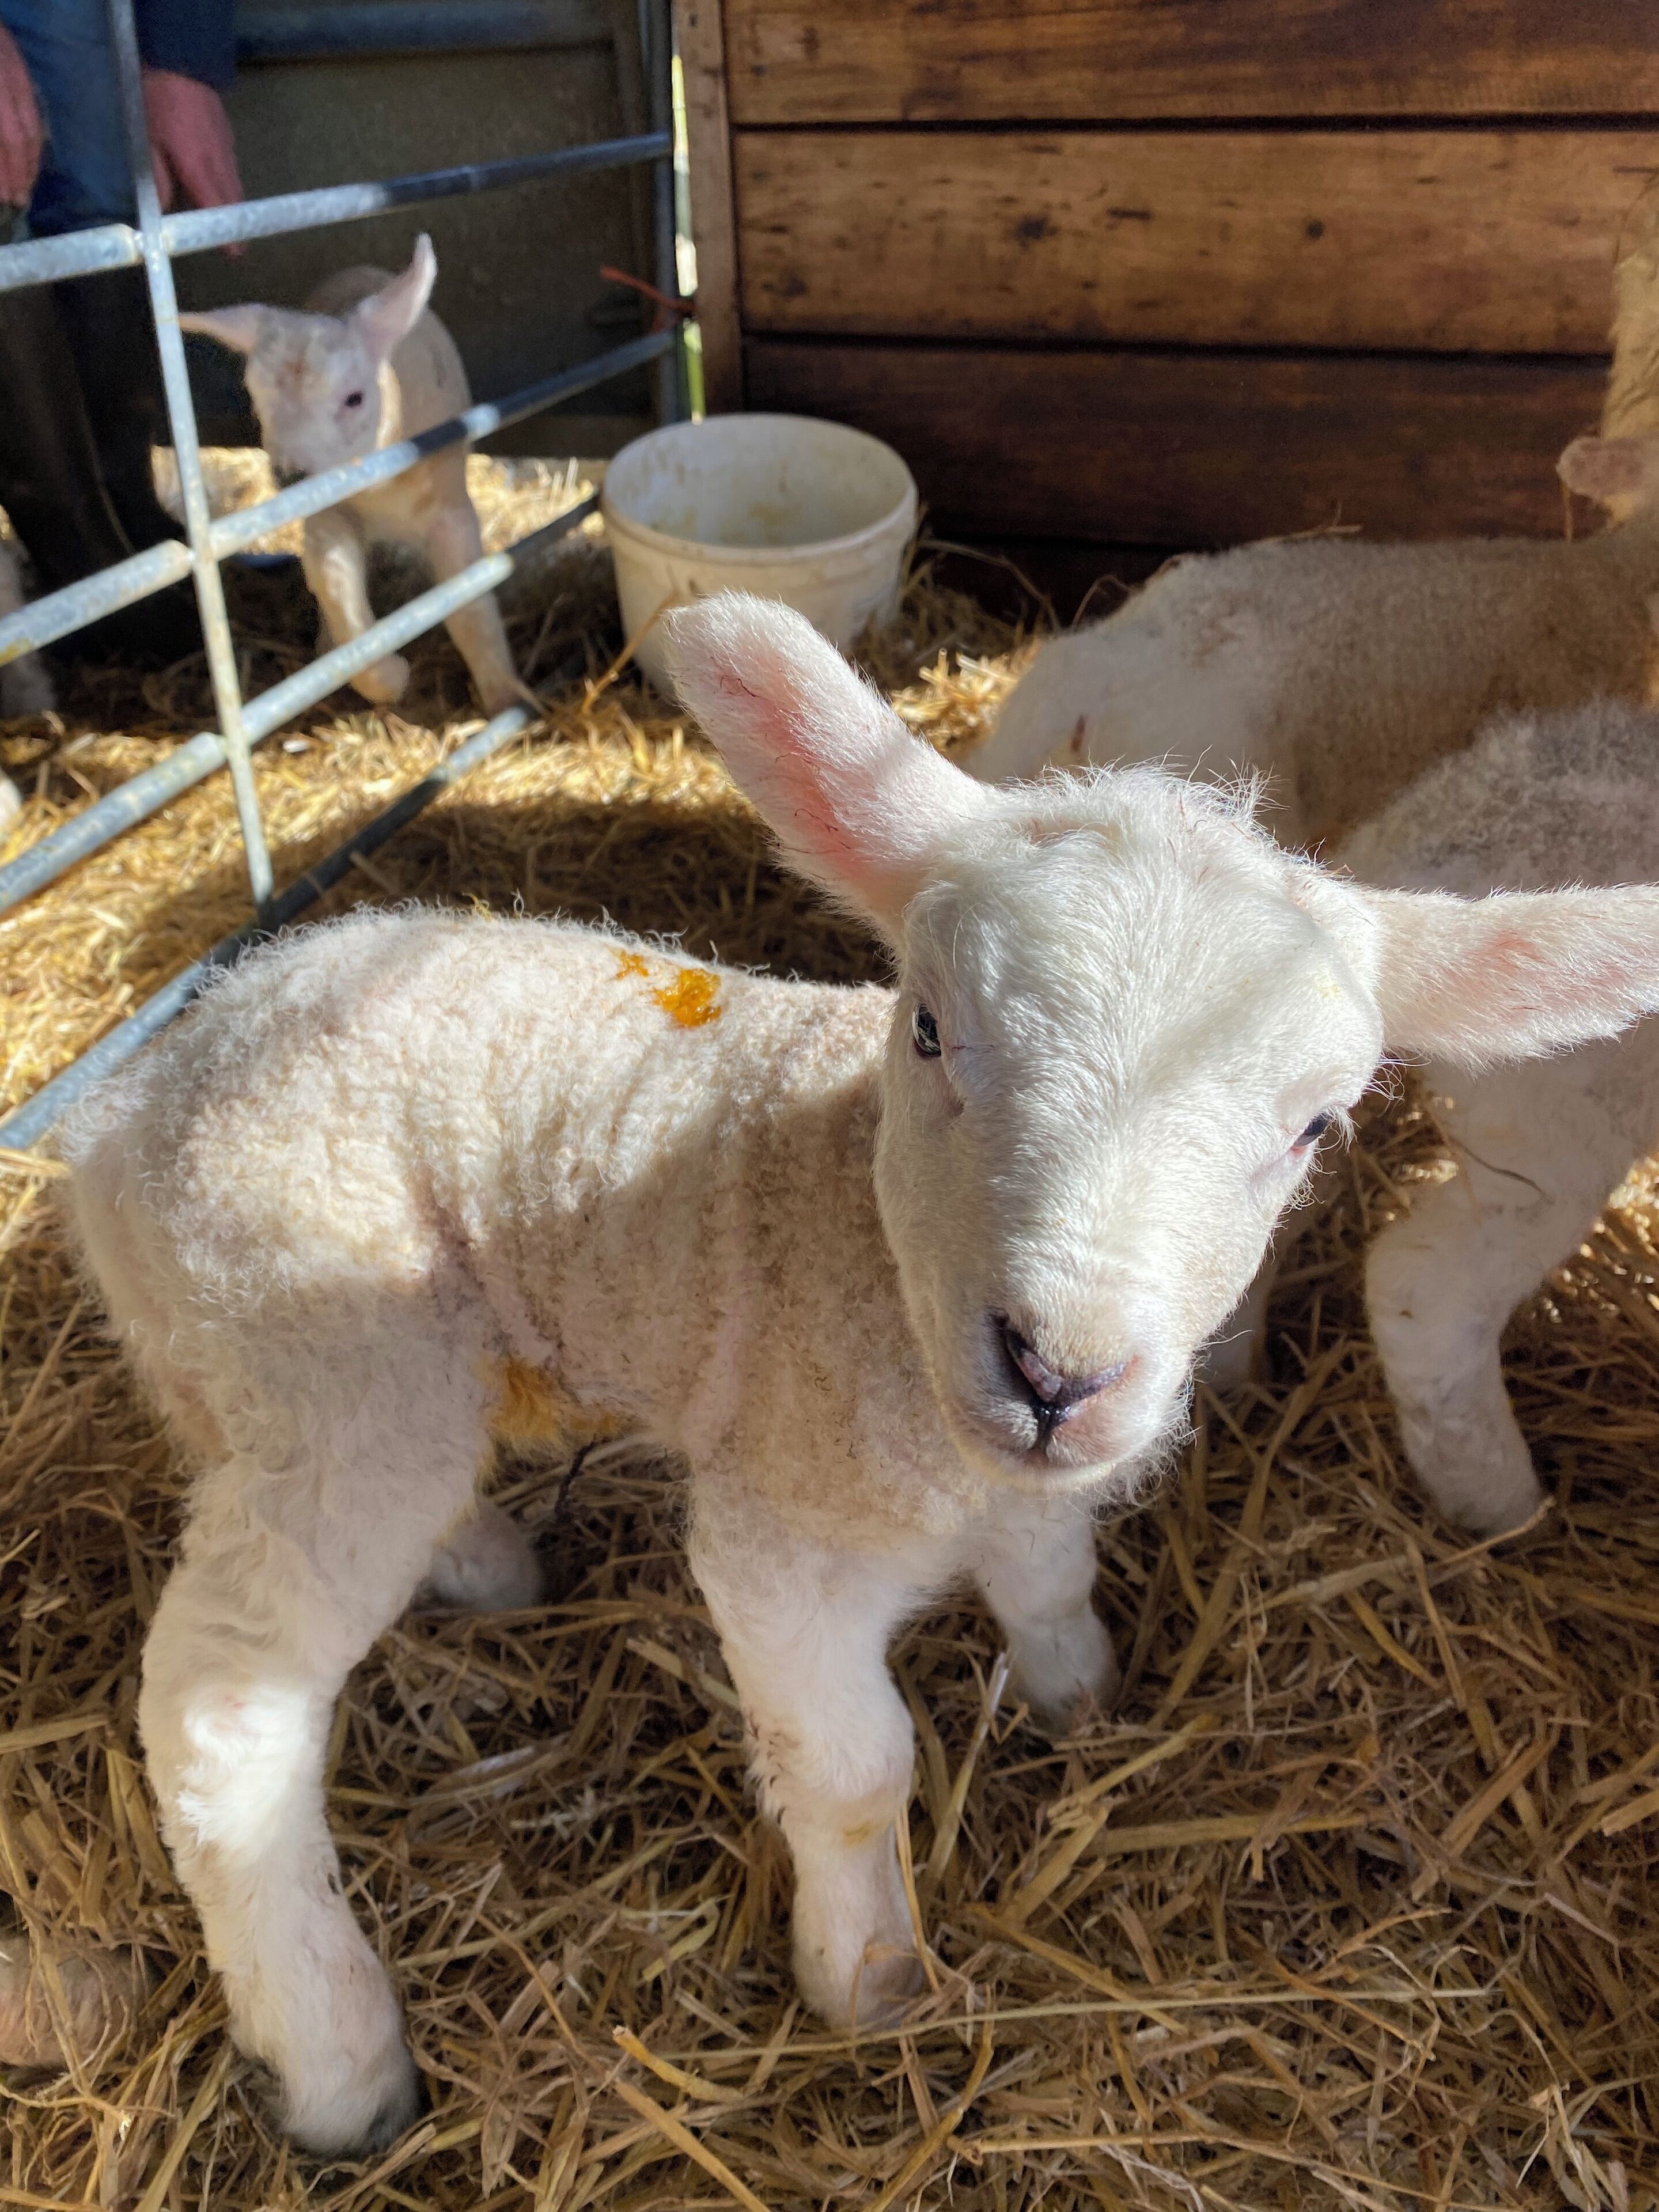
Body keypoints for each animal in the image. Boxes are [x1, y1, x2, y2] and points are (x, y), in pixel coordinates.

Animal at [179, 236, 523, 718]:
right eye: (255, 399)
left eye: (355, 399)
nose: (292, 476)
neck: (377, 487)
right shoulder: (329, 513)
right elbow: (336, 587)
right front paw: (389, 678)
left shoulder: (450, 508)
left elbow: (469, 605)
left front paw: (505, 698)